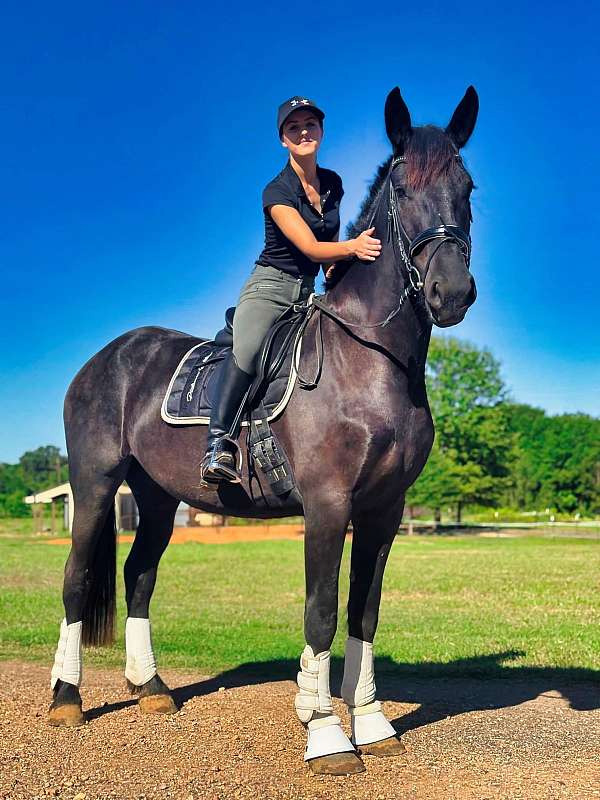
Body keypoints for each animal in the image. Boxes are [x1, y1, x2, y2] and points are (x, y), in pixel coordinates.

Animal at [49, 86, 478, 776]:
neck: (372, 359)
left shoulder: (384, 509)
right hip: (94, 485)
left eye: (467, 187)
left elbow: (365, 610)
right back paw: (67, 699)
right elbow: (322, 611)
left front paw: (372, 723)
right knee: (77, 577)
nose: (451, 292)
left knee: (139, 576)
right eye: (401, 188)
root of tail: (107, 356)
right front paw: (326, 733)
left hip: (158, 497)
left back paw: (152, 689)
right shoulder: (329, 505)